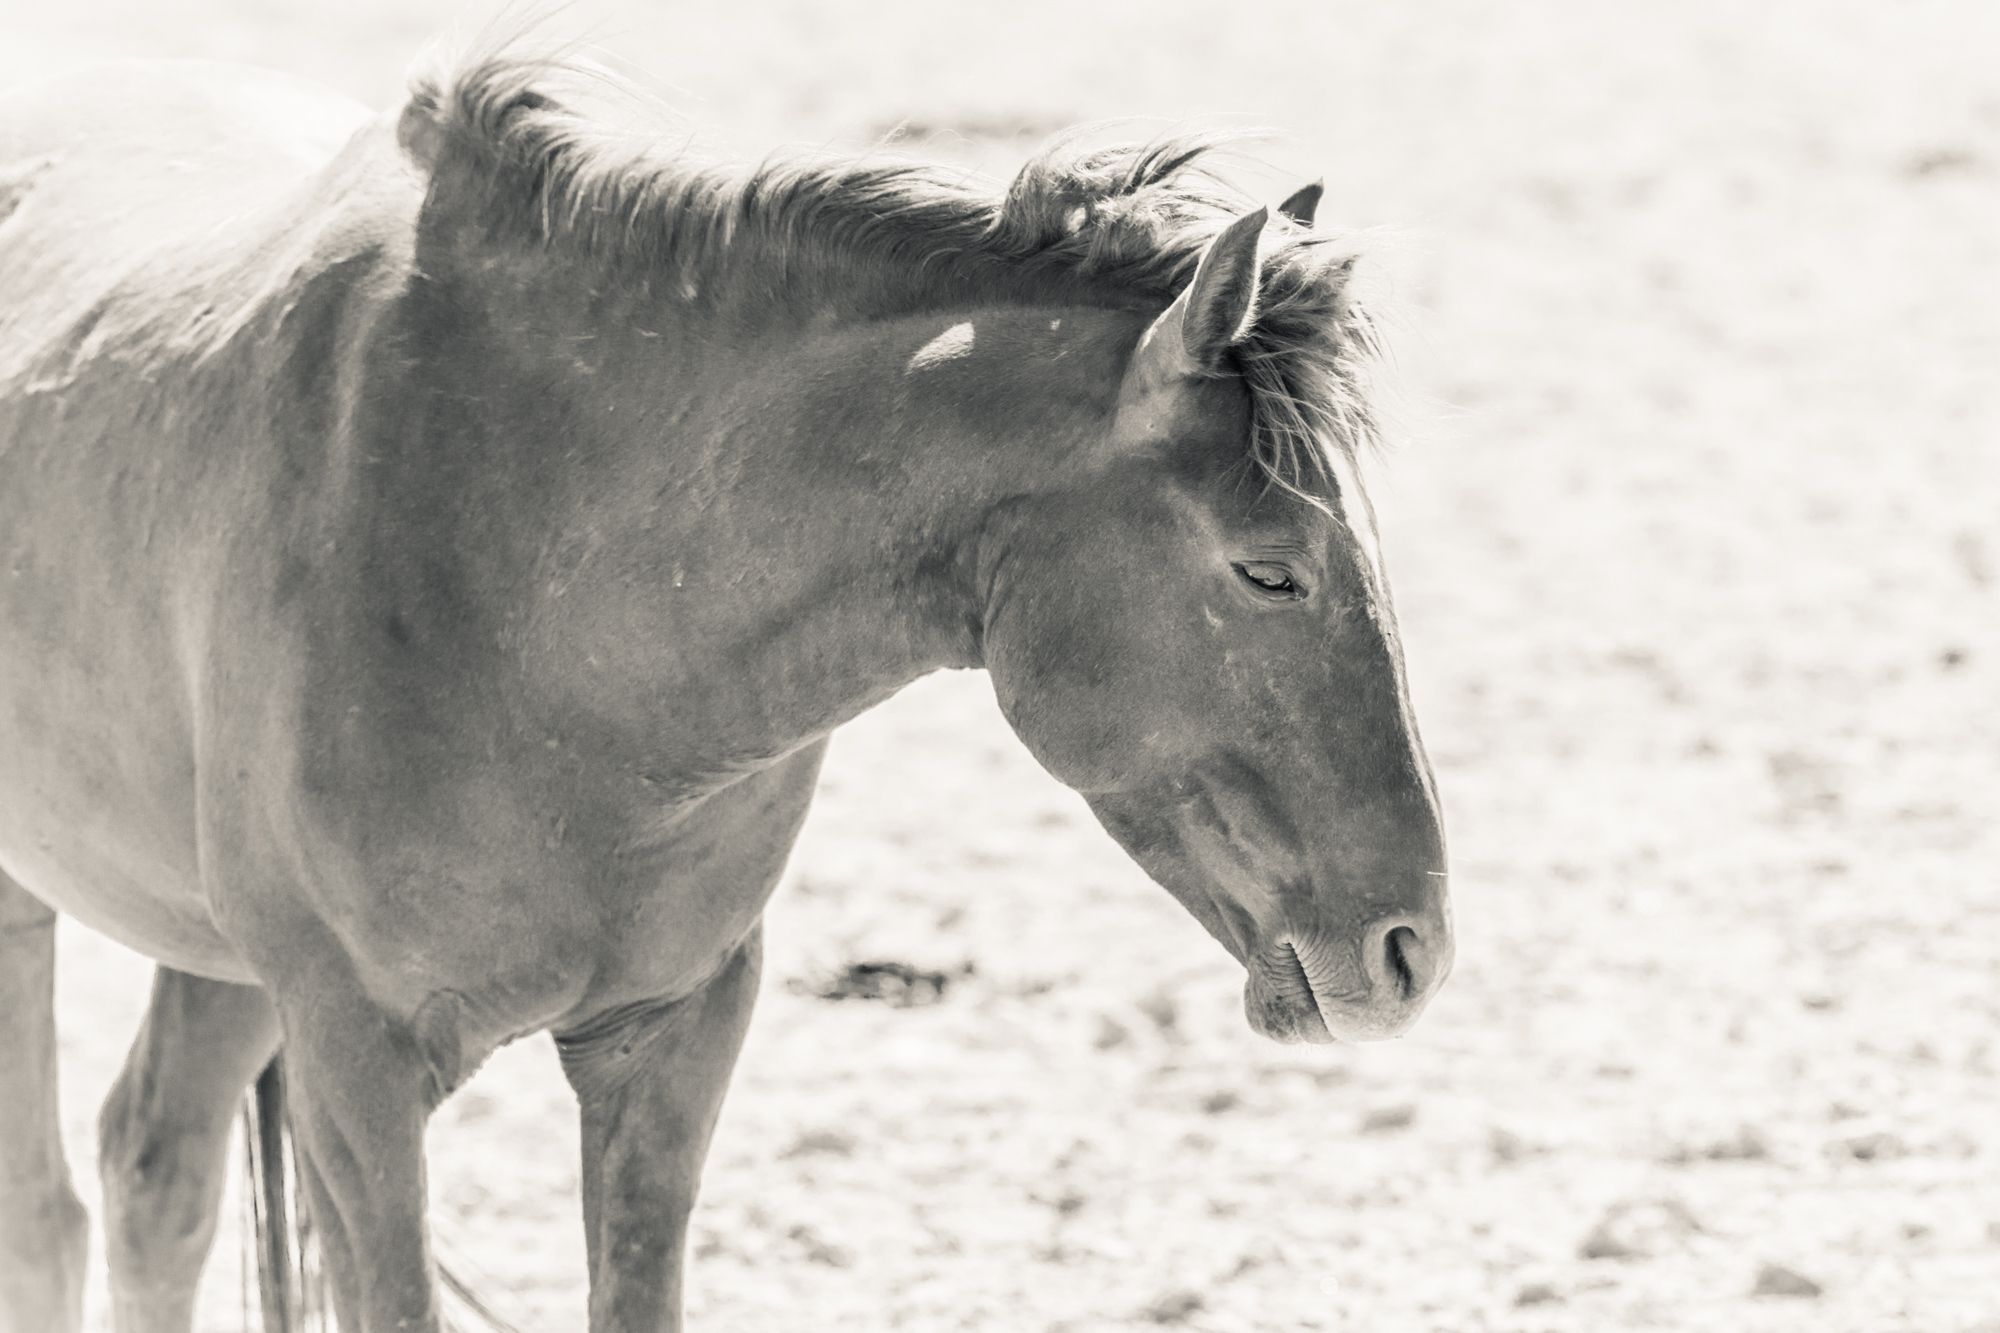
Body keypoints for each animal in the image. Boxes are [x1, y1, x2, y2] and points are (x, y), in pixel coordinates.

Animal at [0, 40, 1451, 1333]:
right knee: (54, 1213)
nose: (1412, 951)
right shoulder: (355, 1066)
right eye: (1267, 572)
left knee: (153, 1171)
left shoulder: (674, 1033)